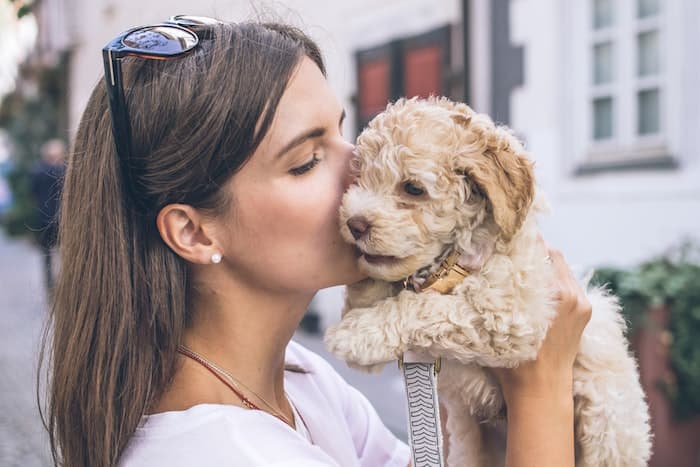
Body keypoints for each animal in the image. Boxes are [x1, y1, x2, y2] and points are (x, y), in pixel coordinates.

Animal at [326, 97, 652, 466]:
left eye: (413, 188)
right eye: (359, 177)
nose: (354, 224)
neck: (450, 262)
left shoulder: (509, 316)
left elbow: (426, 307)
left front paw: (354, 332)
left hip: (606, 429)